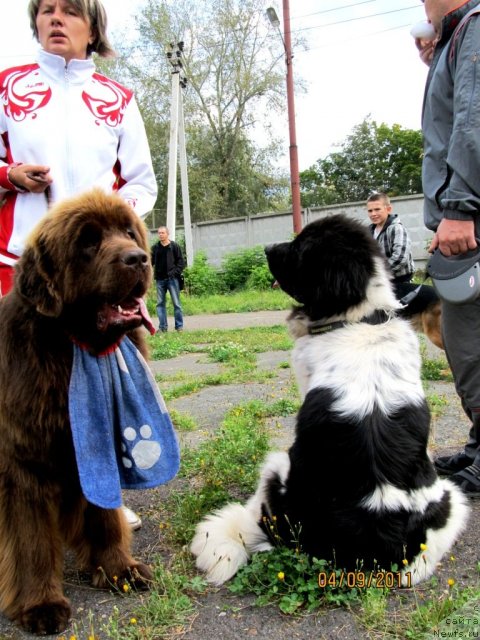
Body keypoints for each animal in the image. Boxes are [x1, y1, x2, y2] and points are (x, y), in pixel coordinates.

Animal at [0, 190, 157, 636]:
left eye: (128, 232)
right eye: (87, 242)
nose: (139, 259)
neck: (72, 350)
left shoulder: (99, 446)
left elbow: (103, 517)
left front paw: (119, 570)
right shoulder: (22, 464)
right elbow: (31, 542)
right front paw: (40, 604)